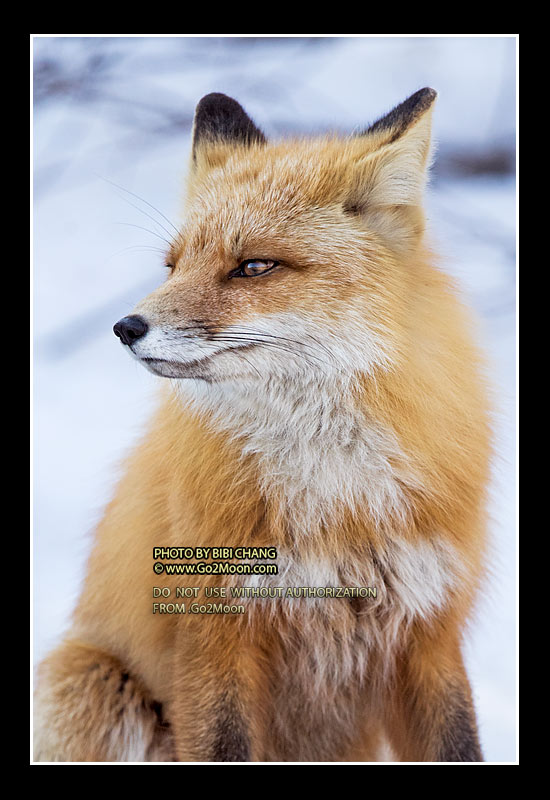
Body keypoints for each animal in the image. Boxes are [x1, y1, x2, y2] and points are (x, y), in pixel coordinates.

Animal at [34, 88, 491, 763]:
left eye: (253, 267)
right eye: (173, 264)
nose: (125, 327)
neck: (335, 505)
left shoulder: (429, 631)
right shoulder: (213, 636)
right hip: (96, 685)